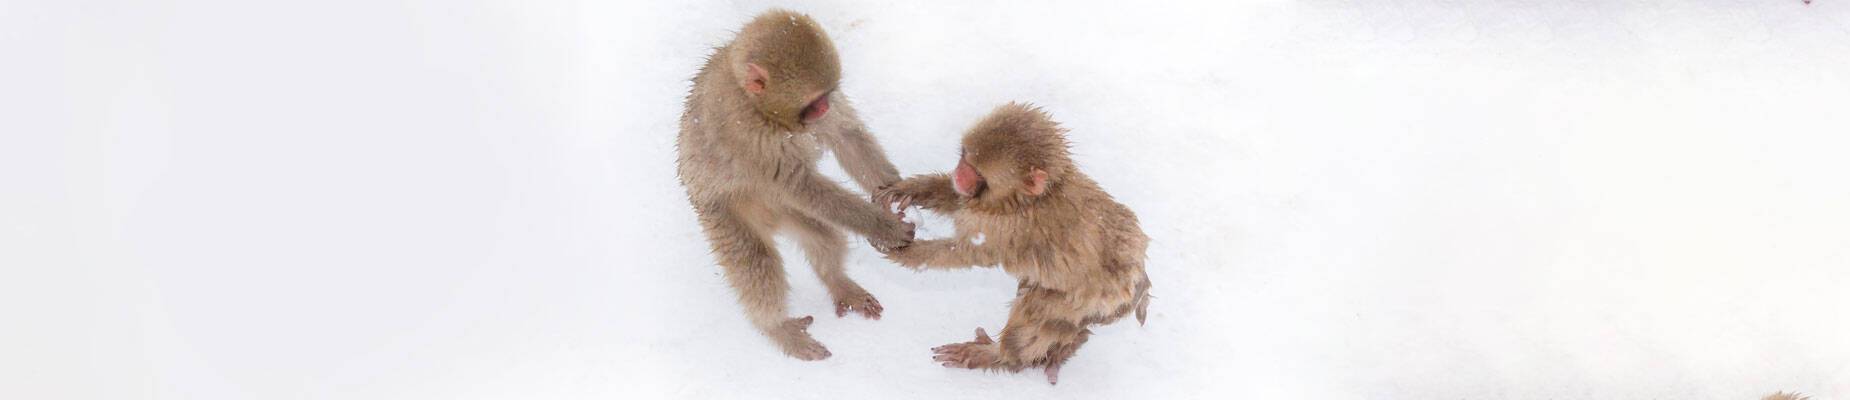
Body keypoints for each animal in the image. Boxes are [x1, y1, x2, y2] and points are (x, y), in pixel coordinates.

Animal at [676, 9, 915, 361]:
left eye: (826, 96)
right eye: (813, 102)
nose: (825, 107)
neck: (761, 109)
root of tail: (770, 221)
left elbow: (845, 134)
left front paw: (896, 189)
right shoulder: (746, 134)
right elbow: (802, 187)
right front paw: (884, 227)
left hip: (787, 212)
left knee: (826, 236)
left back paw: (837, 281)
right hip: (723, 215)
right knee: (758, 263)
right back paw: (778, 329)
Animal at [874, 103, 1152, 384]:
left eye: (975, 172)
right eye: (964, 157)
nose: (959, 175)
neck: (1026, 200)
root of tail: (1139, 279)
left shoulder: (1005, 229)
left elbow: (967, 254)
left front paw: (902, 252)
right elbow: (958, 200)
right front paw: (910, 190)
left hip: (1092, 300)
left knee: (1037, 314)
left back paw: (999, 356)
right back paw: (1069, 344)